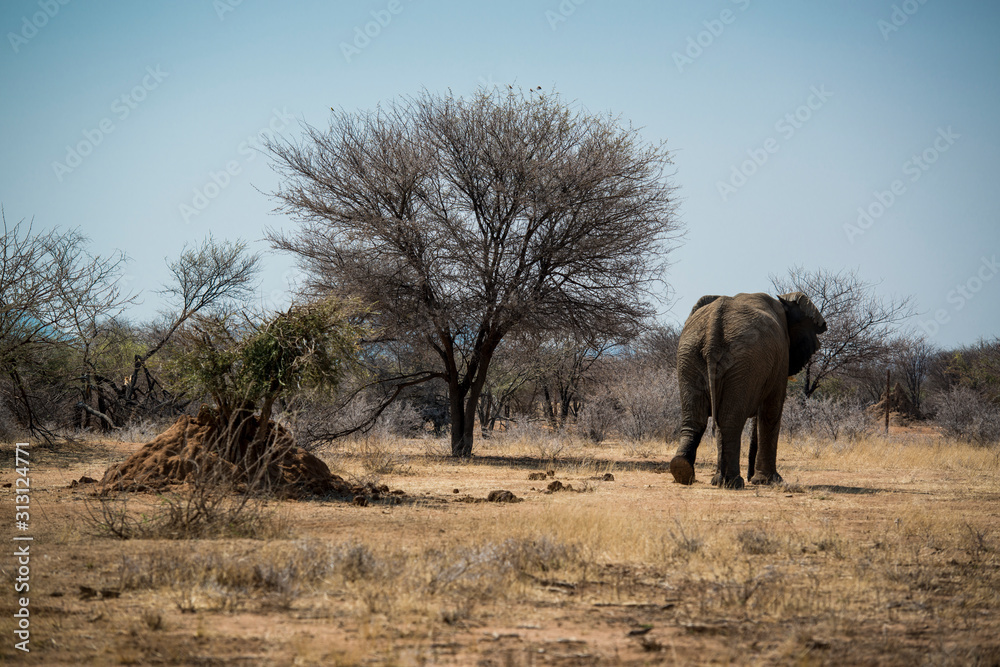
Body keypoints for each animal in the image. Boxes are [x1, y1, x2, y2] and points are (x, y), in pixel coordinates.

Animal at [668, 292, 827, 489]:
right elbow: (771, 411)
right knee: (729, 420)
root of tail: (714, 325)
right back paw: (733, 482)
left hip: (691, 355)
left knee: (697, 419)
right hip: (743, 360)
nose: (752, 476)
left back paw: (687, 472)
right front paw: (770, 481)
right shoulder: (781, 358)